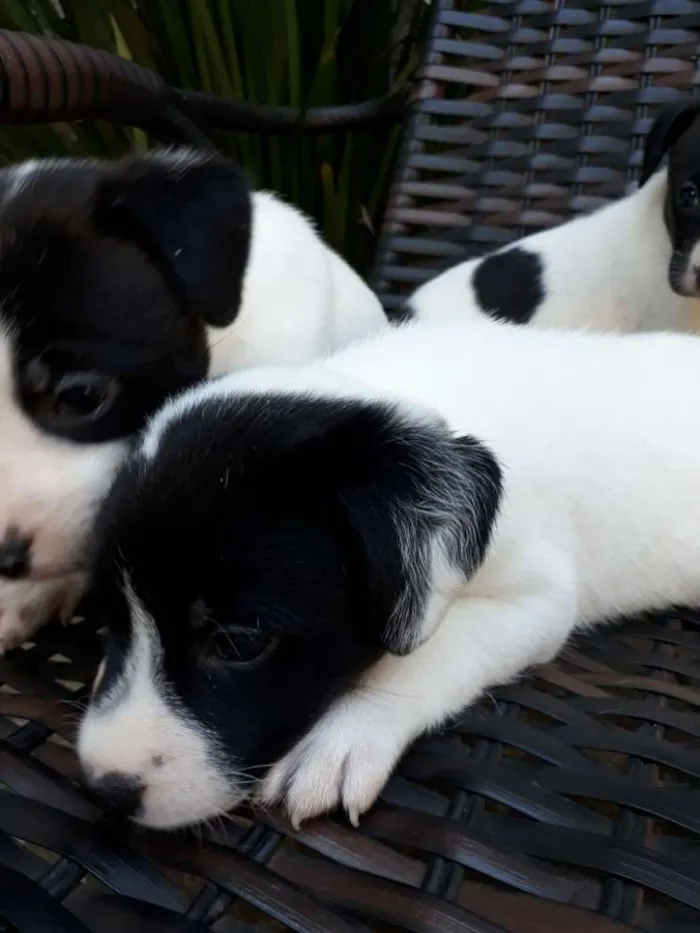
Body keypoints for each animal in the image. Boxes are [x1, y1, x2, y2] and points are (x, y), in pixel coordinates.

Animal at [80, 314, 700, 832]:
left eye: (238, 644)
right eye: (107, 622)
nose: (102, 791)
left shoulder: (538, 599)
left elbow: (426, 654)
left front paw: (340, 737)